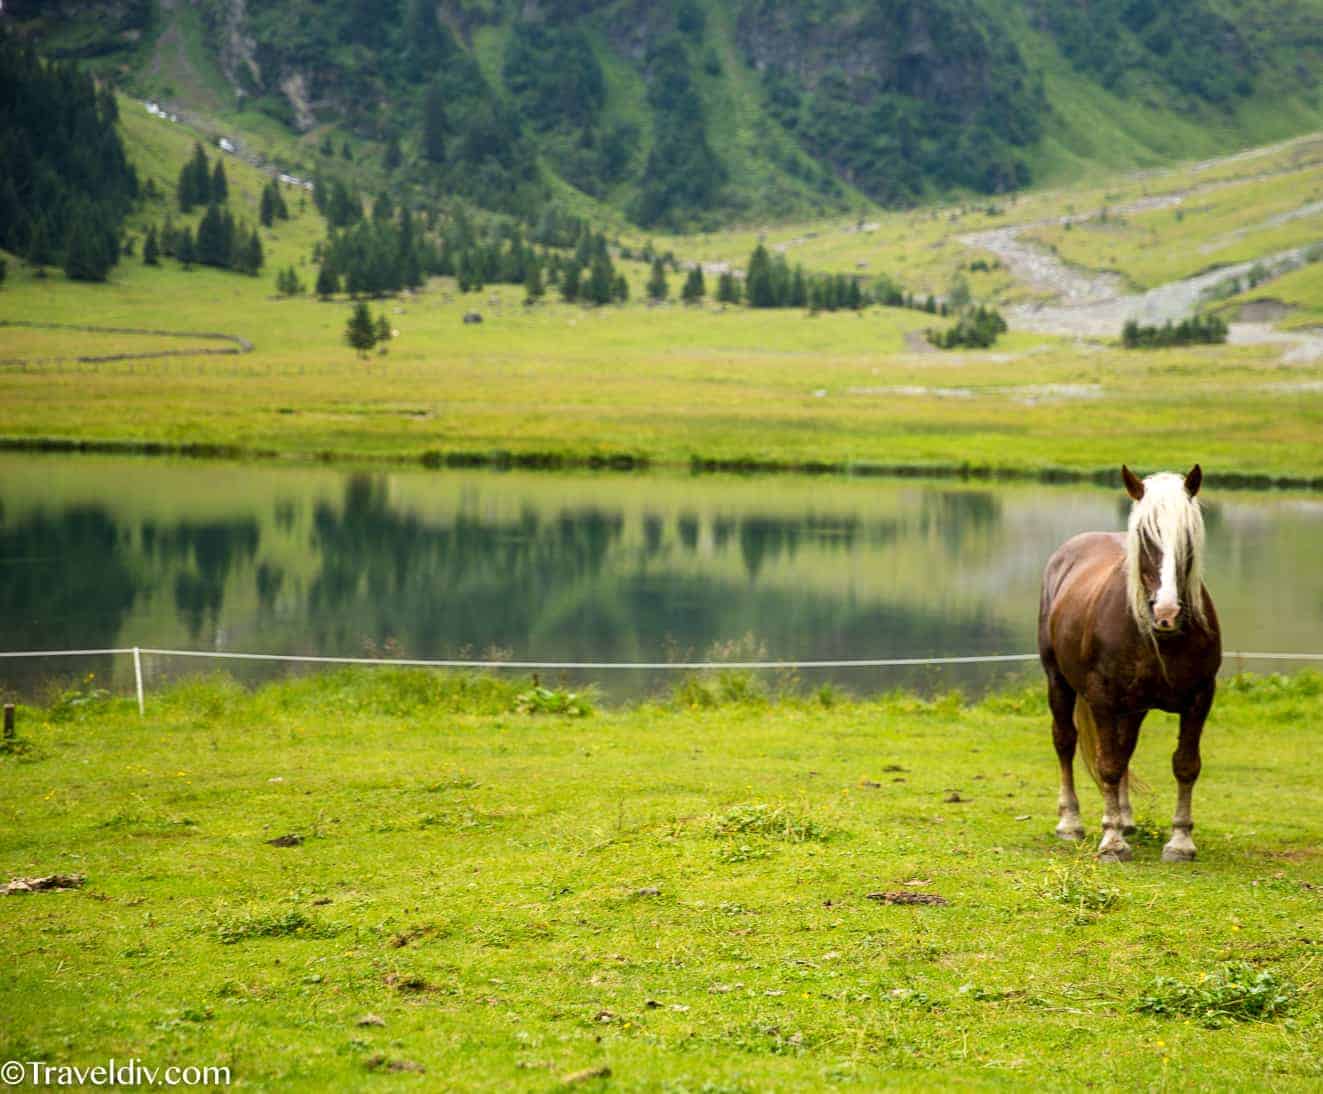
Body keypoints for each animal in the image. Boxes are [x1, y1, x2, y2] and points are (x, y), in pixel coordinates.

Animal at [1037, 462, 1222, 862]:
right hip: (1058, 680)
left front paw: (1180, 841)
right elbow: (1107, 765)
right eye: (1144, 536)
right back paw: (1071, 822)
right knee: (1066, 741)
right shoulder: (1103, 699)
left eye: (1188, 537)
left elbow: (1186, 764)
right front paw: (1112, 842)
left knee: (1125, 749)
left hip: (1133, 708)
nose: (1166, 613)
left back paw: (1125, 817)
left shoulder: (1200, 698)